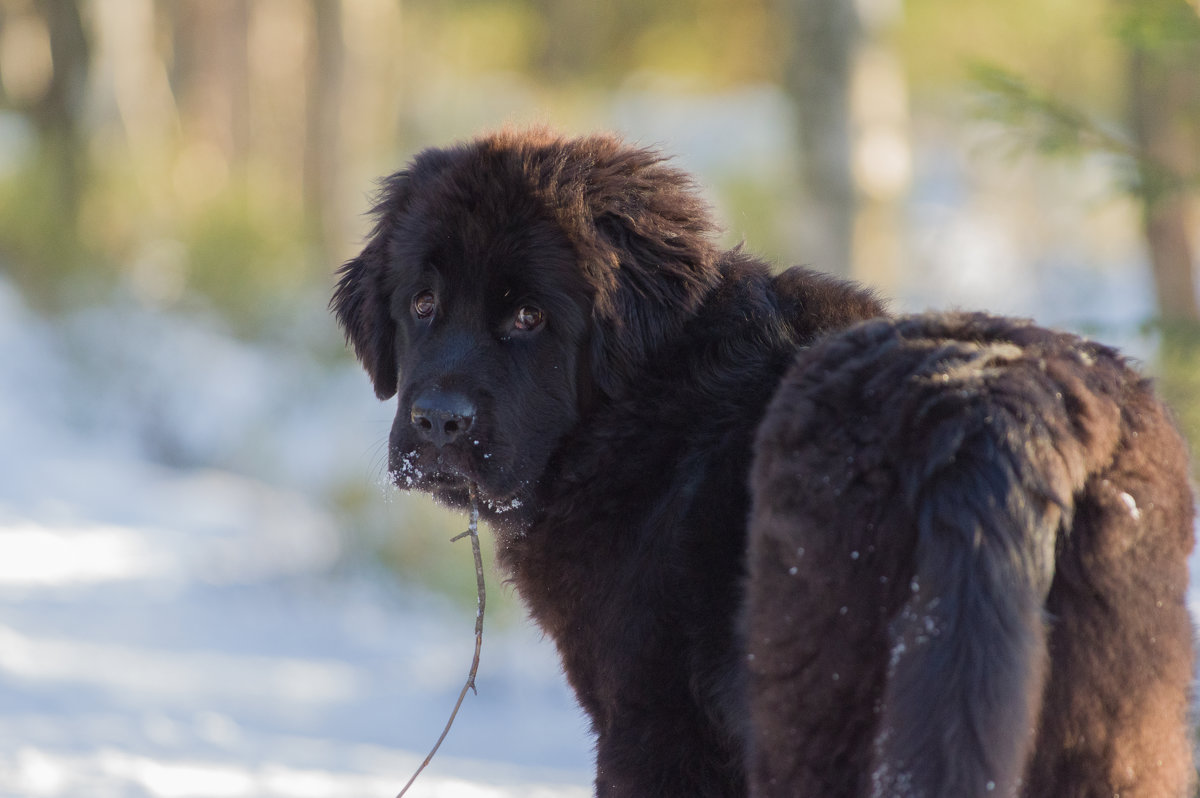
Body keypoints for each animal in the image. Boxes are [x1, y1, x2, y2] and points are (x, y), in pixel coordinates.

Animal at [328, 127, 1190, 792]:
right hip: (1113, 725)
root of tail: (995, 409)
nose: (438, 422)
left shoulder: (654, 724)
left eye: (529, 317)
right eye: (422, 304)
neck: (645, 403)